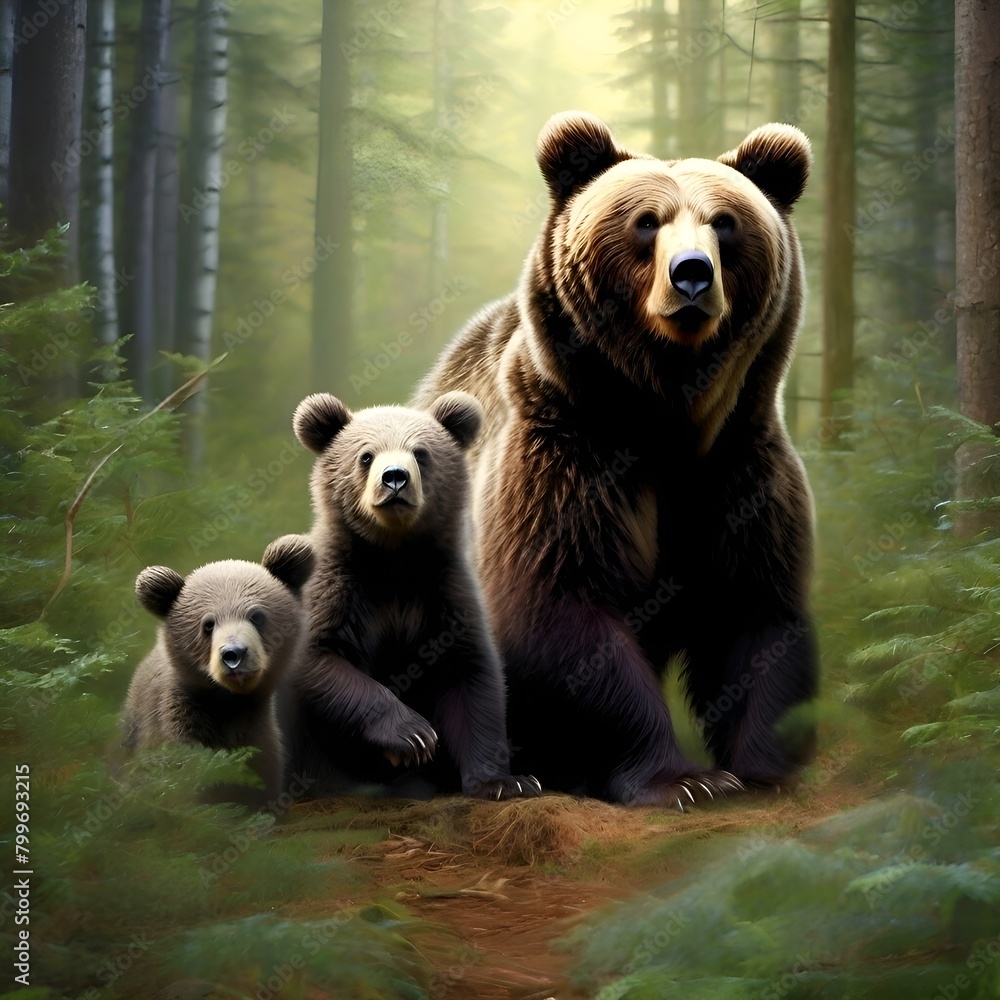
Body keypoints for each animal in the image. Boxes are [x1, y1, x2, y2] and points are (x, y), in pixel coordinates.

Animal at [122, 534, 315, 806]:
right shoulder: (176, 723)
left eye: (257, 616)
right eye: (208, 624)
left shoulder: (257, 733)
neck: (226, 703)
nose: (234, 654)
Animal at [281, 390, 541, 801]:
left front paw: (507, 782)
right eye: (366, 456)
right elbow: (320, 658)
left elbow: (472, 679)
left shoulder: (446, 594)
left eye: (420, 453)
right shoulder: (337, 589)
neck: (394, 557)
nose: (395, 478)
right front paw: (413, 736)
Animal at [413, 111, 818, 809]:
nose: (692, 274)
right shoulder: (568, 455)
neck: (664, 417)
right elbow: (562, 612)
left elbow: (756, 611)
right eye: (647, 221)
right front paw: (684, 779)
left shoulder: (739, 465)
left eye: (724, 223)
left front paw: (762, 765)